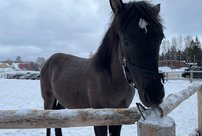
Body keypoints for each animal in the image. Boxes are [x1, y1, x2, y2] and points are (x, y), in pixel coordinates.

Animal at [40, 0, 165, 135]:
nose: (155, 95)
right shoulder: (99, 120)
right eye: (125, 41)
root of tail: (49, 60)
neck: (111, 80)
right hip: (48, 99)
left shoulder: (119, 118)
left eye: (160, 38)